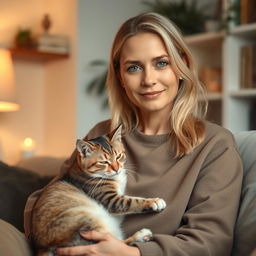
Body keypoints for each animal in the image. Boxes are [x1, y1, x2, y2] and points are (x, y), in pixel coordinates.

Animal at [31, 125, 166, 255]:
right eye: (104, 162)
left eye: (119, 156)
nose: (117, 169)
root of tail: (42, 248)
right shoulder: (110, 199)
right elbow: (132, 201)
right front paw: (154, 201)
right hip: (87, 220)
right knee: (116, 244)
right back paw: (142, 235)